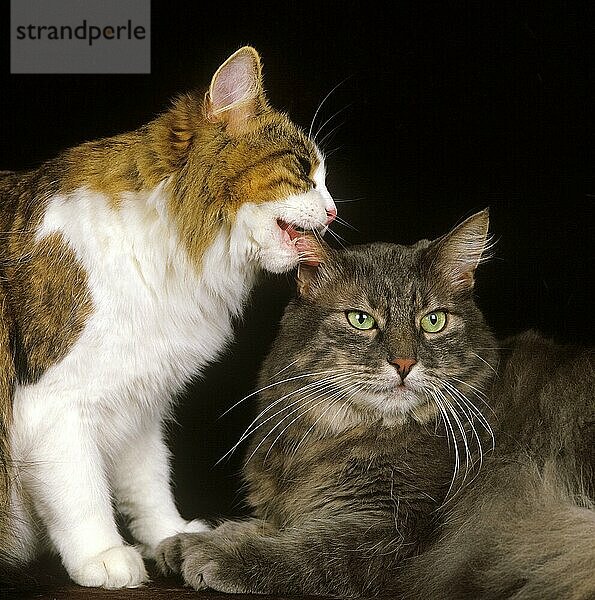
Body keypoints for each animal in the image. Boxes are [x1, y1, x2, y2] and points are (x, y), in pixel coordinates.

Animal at [0, 48, 336, 592]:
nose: (333, 211)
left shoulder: (139, 400)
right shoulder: (54, 403)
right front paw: (103, 555)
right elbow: (82, 493)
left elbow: (149, 483)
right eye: (304, 169)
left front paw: (169, 538)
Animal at [156, 211, 592, 600]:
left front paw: (209, 551)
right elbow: (276, 525)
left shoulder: (394, 531)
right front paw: (187, 540)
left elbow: (307, 549)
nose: (404, 363)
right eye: (361, 320)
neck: (337, 435)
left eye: (433, 321)